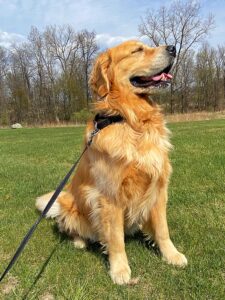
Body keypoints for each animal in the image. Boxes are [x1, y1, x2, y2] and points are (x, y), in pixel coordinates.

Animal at [36, 39, 187, 284]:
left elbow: (163, 230)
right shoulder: (110, 196)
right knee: (71, 227)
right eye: (137, 50)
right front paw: (120, 270)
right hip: (68, 201)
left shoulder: (158, 187)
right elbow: (116, 239)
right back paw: (79, 241)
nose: (173, 48)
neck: (130, 120)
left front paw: (171, 255)